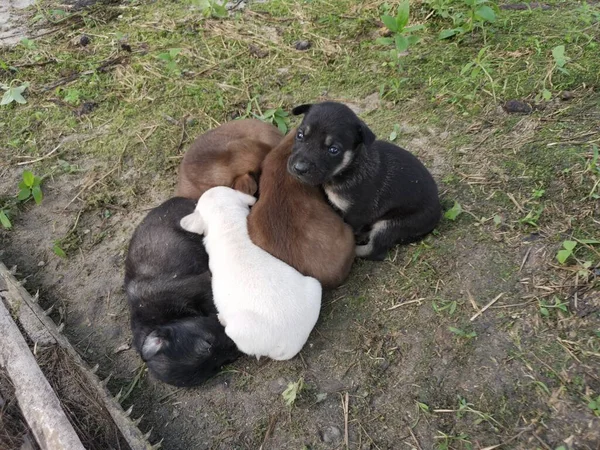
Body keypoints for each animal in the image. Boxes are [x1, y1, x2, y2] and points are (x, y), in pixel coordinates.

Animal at [288, 101, 442, 262]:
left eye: (333, 150)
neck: (350, 167)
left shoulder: (356, 214)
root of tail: (438, 211)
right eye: (300, 135)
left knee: (375, 250)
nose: (299, 168)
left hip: (392, 224)